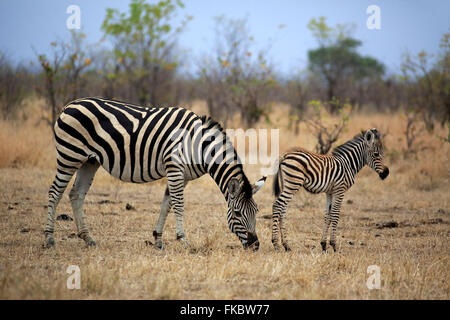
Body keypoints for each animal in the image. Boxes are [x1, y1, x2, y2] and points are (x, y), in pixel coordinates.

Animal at [44, 96, 266, 251]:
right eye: (237, 213)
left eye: (256, 211)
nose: (255, 245)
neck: (199, 147)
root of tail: (69, 105)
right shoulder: (174, 168)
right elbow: (178, 204)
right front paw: (183, 240)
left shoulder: (182, 175)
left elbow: (167, 204)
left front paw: (158, 239)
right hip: (69, 155)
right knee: (55, 192)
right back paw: (49, 238)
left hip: (89, 161)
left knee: (76, 194)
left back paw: (88, 238)